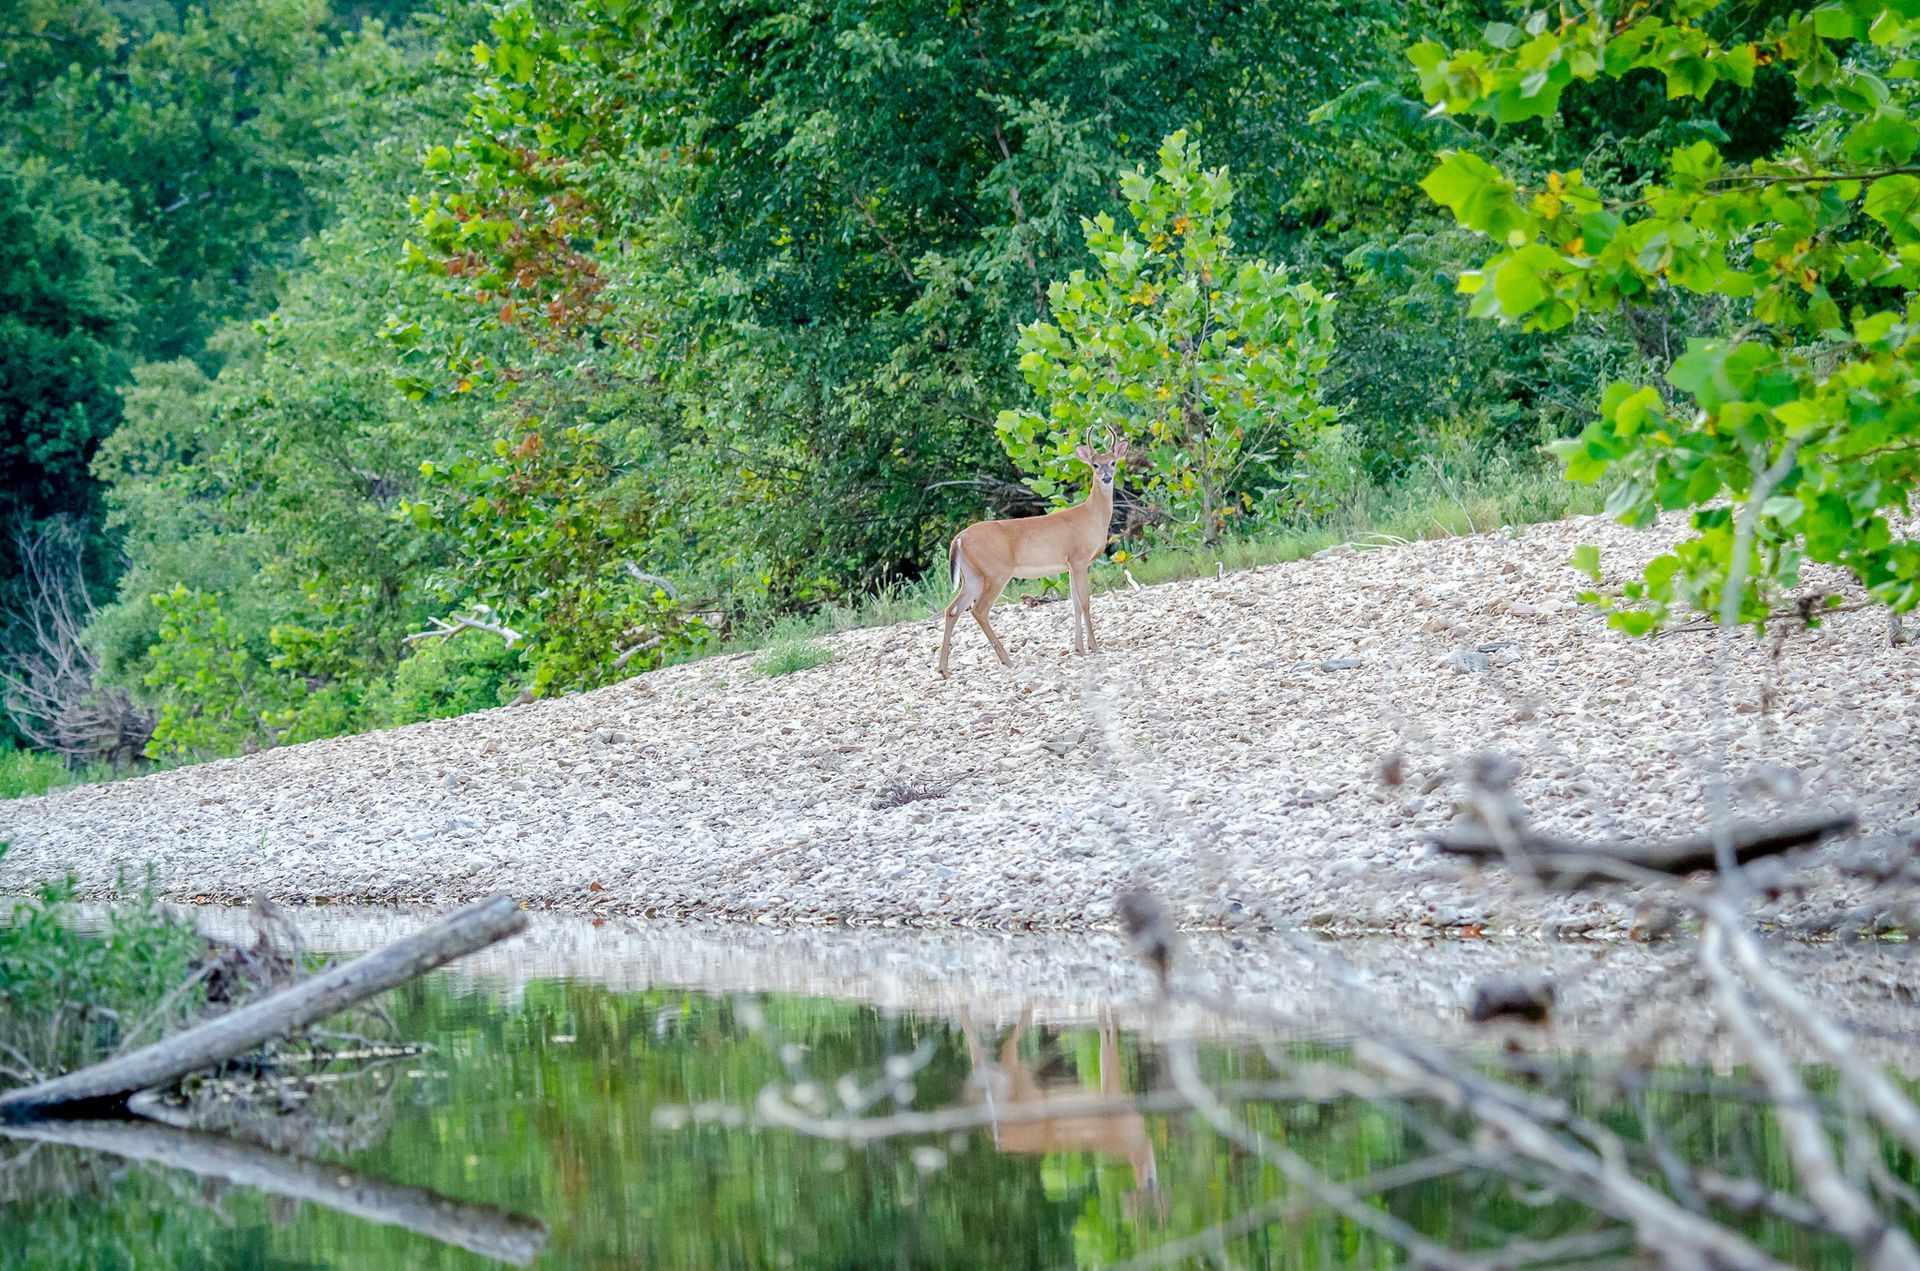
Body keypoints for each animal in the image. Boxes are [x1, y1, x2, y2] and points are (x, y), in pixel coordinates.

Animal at [937, 430, 1129, 678]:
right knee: (979, 610)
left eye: (1113, 462)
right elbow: (1085, 602)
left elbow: (1075, 604)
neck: (1092, 516)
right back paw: (1007, 660)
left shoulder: (1068, 564)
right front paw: (1094, 647)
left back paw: (944, 669)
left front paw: (1079, 648)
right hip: (996, 572)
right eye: (1095, 465)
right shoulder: (1079, 559)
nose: (1106, 477)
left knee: (952, 610)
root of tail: (958, 538)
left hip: (972, 575)